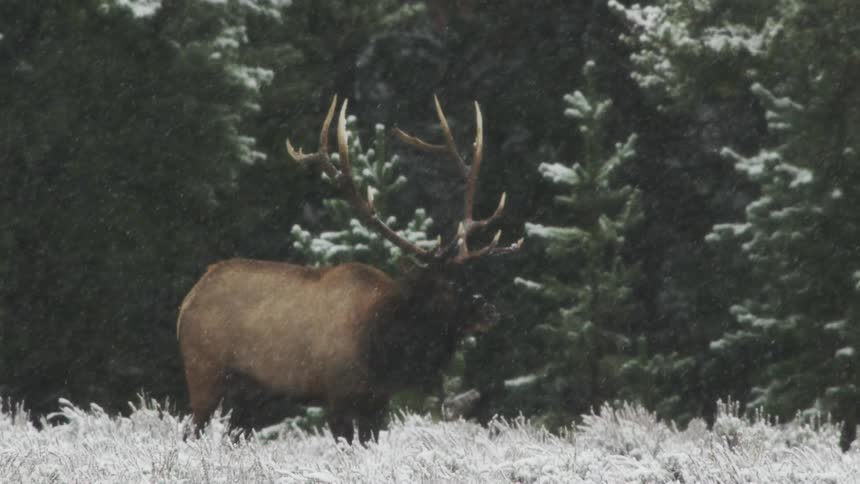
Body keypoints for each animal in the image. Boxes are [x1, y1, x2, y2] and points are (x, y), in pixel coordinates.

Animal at [176, 95, 523, 444]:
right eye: (444, 284)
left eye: (470, 277)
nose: (490, 312)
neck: (382, 349)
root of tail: (188, 299)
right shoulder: (338, 394)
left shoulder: (377, 401)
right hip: (204, 369)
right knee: (191, 430)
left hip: (252, 393)